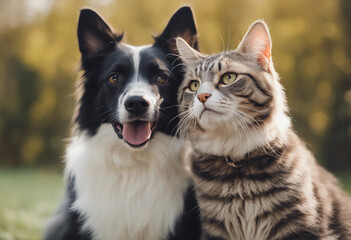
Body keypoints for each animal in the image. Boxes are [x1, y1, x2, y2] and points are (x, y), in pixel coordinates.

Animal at [176, 20, 351, 240]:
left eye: (228, 78)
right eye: (194, 85)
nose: (202, 96)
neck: (237, 169)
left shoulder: (300, 226)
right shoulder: (215, 230)